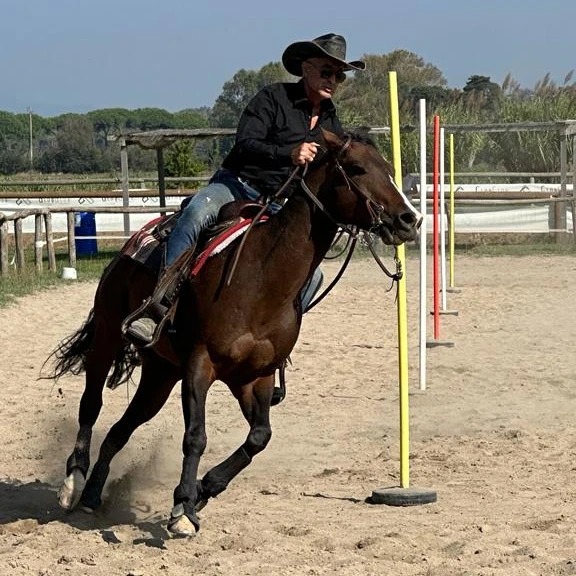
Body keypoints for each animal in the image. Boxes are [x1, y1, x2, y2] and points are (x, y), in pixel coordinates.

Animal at [45, 128, 420, 536]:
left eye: (388, 168)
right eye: (355, 168)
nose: (410, 219)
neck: (262, 276)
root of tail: (134, 242)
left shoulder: (254, 377)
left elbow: (259, 437)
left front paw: (203, 491)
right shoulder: (200, 365)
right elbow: (195, 436)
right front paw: (182, 508)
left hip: (161, 374)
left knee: (119, 430)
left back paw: (93, 495)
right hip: (108, 335)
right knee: (91, 403)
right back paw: (73, 483)